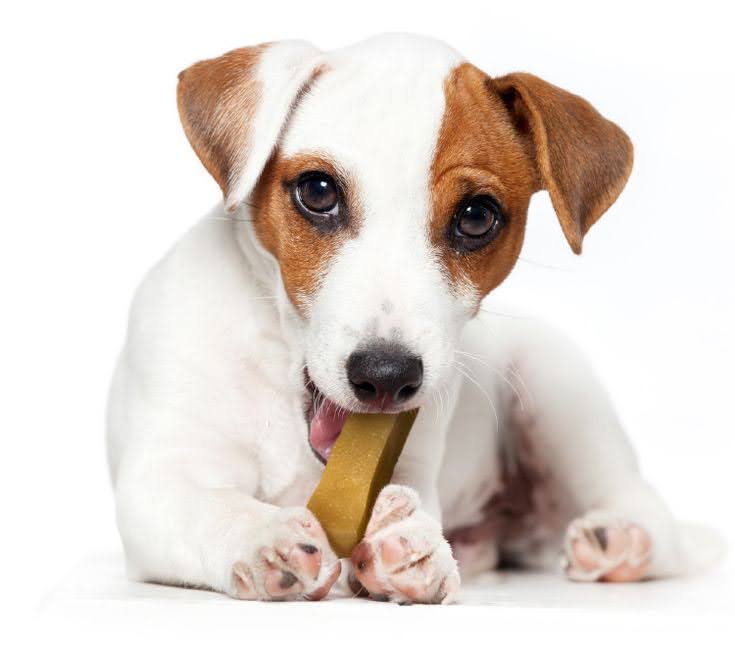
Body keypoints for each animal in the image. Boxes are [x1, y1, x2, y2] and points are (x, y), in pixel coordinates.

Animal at [106, 34, 688, 604]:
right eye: (318, 191)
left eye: (476, 217)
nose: (386, 377)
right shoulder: (155, 483)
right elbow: (210, 507)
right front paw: (266, 537)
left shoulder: (413, 461)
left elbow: (410, 505)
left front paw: (411, 547)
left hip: (558, 390)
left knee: (649, 513)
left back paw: (619, 544)